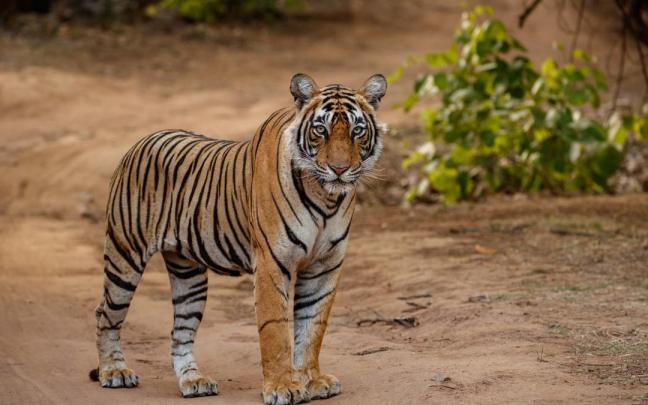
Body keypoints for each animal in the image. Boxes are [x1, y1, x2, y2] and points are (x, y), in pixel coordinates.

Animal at [89, 73, 387, 405]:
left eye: (357, 130)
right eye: (320, 130)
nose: (339, 169)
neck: (326, 198)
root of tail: (140, 142)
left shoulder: (324, 266)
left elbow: (313, 326)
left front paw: (312, 380)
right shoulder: (272, 263)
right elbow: (275, 329)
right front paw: (282, 387)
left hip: (189, 276)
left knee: (180, 332)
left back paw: (194, 381)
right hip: (124, 256)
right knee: (105, 314)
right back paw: (114, 372)